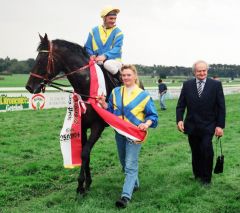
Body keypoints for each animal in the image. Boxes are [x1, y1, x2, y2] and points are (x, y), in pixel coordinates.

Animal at [25, 33, 119, 196]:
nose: (29, 86)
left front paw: (80, 185)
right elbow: (85, 153)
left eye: (42, 59)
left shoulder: (97, 126)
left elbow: (85, 153)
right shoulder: (82, 126)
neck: (87, 87)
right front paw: (87, 183)